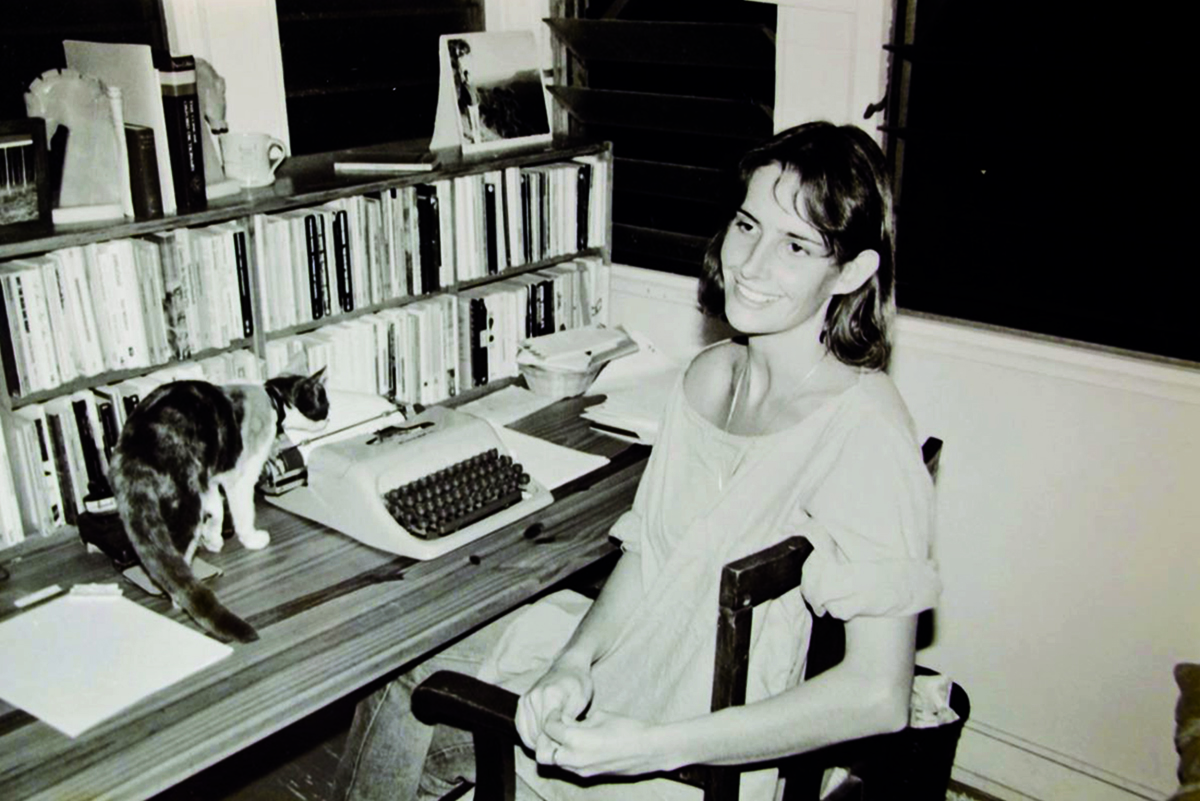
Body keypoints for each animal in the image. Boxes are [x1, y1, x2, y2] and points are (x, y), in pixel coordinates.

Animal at [108, 371, 328, 642]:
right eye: (324, 401)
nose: (330, 416)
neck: (272, 398)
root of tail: (134, 455)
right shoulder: (239, 477)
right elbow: (242, 511)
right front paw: (251, 539)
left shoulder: (211, 475)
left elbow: (217, 508)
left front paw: (213, 538)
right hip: (185, 503)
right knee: (175, 559)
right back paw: (179, 597)